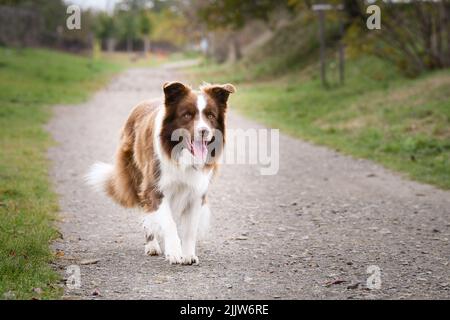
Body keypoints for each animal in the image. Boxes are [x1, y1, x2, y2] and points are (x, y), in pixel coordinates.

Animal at [86, 81, 237, 264]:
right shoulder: (155, 188)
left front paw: (188, 254)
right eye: (187, 115)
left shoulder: (196, 192)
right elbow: (169, 223)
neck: (181, 154)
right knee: (146, 212)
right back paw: (151, 245)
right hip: (137, 177)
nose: (204, 131)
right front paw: (174, 252)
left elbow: (190, 228)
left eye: (210, 115)